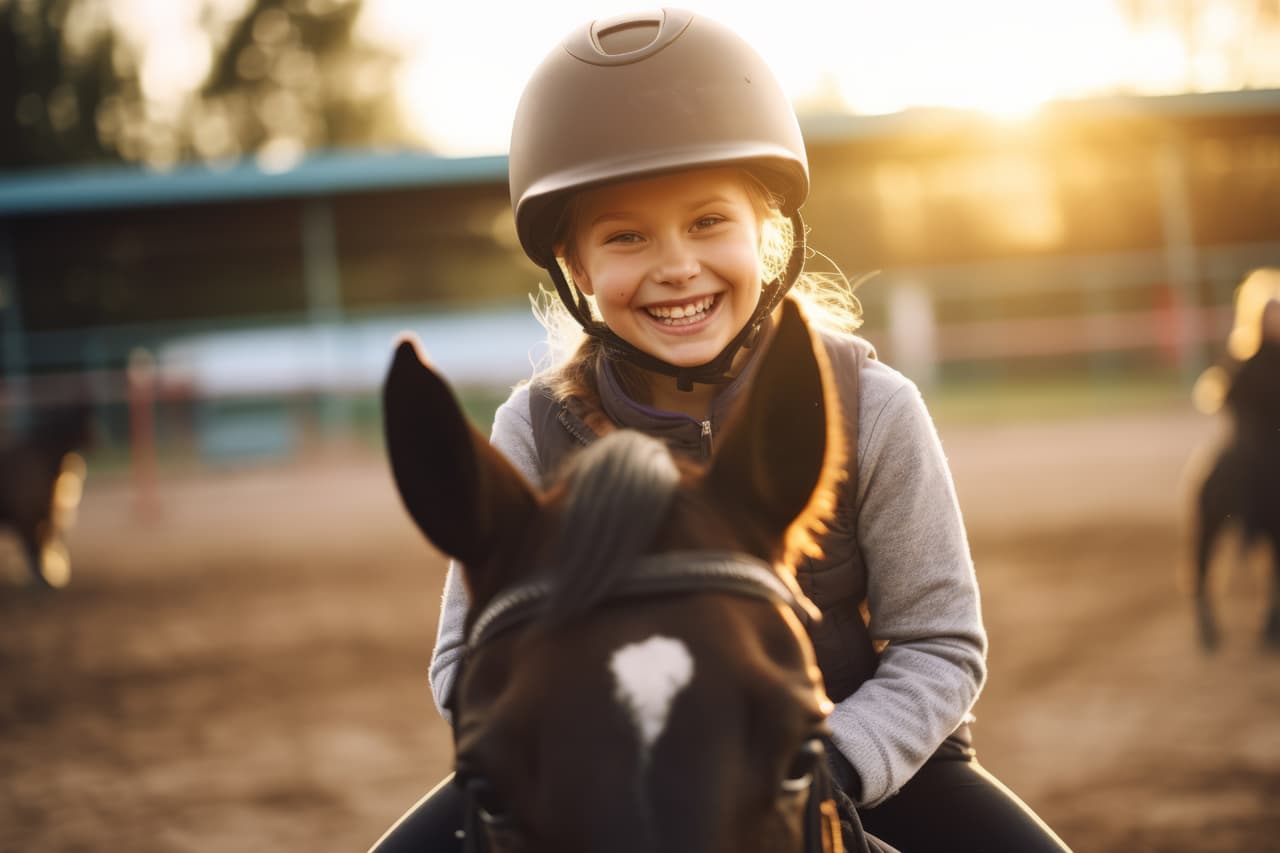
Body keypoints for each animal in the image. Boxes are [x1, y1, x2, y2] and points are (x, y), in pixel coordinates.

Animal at [0, 404, 92, 589]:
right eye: (81, 417)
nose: (97, 437)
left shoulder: (43, 517)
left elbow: (43, 546)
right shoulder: (26, 519)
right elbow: (35, 550)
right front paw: (46, 580)